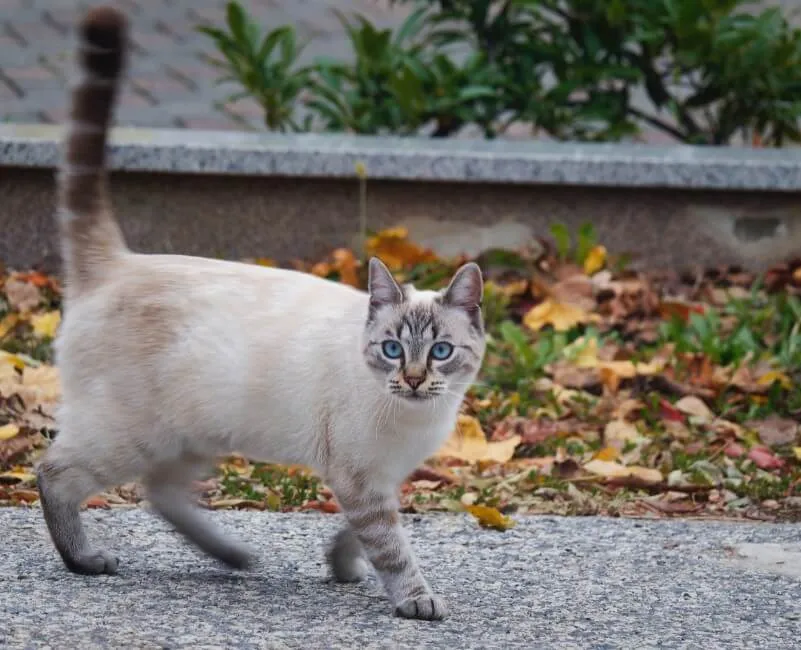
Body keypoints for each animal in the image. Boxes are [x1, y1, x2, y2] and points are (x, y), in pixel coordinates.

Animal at [36, 7, 488, 620]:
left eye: (440, 351)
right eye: (393, 349)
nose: (414, 380)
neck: (418, 418)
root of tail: (117, 261)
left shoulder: (380, 480)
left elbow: (356, 536)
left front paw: (342, 570)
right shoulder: (360, 478)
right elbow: (392, 549)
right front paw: (416, 601)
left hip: (191, 437)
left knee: (160, 495)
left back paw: (233, 558)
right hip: (129, 436)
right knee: (56, 474)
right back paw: (87, 560)